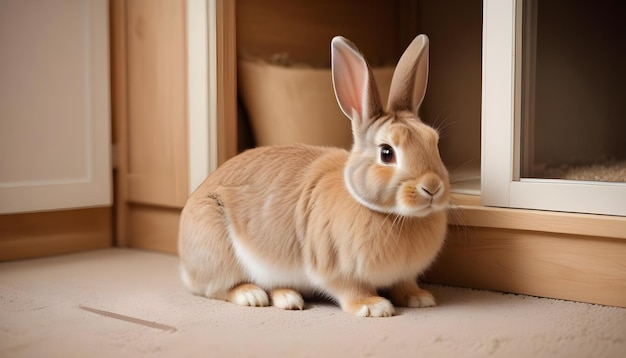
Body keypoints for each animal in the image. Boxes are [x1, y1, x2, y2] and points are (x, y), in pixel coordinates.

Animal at [177, 35, 448, 318]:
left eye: (434, 142)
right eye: (386, 153)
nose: (432, 187)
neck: (393, 215)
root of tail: (185, 264)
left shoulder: (404, 275)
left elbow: (405, 283)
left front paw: (419, 298)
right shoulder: (334, 269)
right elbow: (350, 289)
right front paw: (373, 307)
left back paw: (288, 298)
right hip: (218, 250)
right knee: (221, 288)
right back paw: (253, 295)